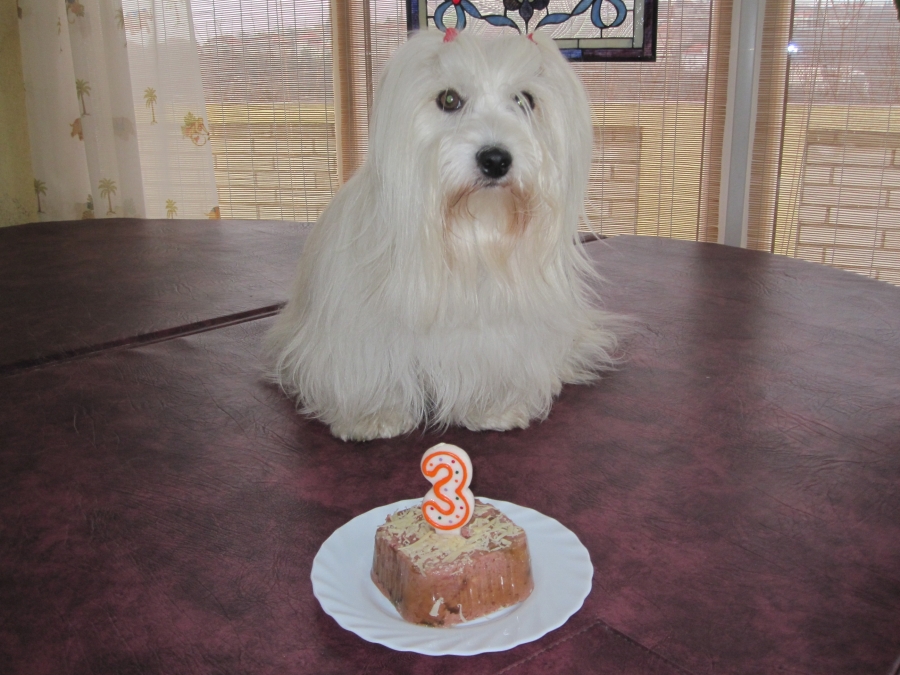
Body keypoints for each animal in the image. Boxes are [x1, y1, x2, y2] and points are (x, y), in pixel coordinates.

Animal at [267, 28, 620, 441]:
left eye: (525, 100)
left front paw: (493, 407)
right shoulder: (359, 336)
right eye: (449, 99)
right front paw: (373, 415)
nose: (495, 159)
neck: (470, 233)